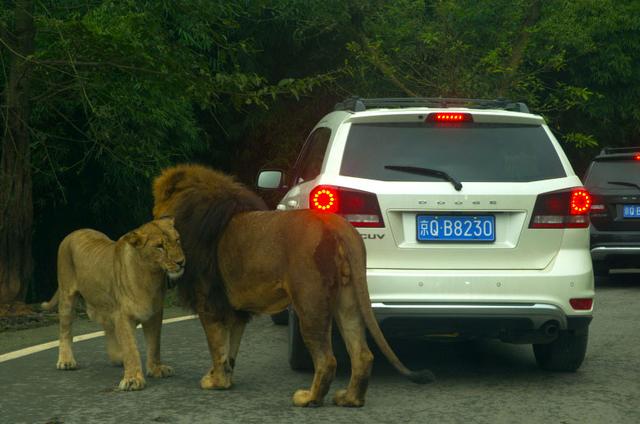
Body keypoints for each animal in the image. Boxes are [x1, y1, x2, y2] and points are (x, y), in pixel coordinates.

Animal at [42, 219, 185, 390]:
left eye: (177, 240)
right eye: (159, 246)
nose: (181, 262)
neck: (151, 277)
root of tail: (74, 232)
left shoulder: (154, 314)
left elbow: (154, 344)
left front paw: (156, 369)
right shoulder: (123, 315)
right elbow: (130, 348)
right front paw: (133, 379)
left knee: (106, 324)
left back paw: (117, 356)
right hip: (67, 296)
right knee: (65, 331)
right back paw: (66, 361)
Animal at [152, 164, 432, 406]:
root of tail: (339, 226)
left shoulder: (209, 302)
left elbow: (217, 347)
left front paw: (215, 382)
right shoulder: (236, 310)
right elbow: (230, 349)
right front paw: (225, 380)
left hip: (309, 303)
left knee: (327, 360)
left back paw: (309, 399)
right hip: (348, 301)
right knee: (362, 354)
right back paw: (350, 399)